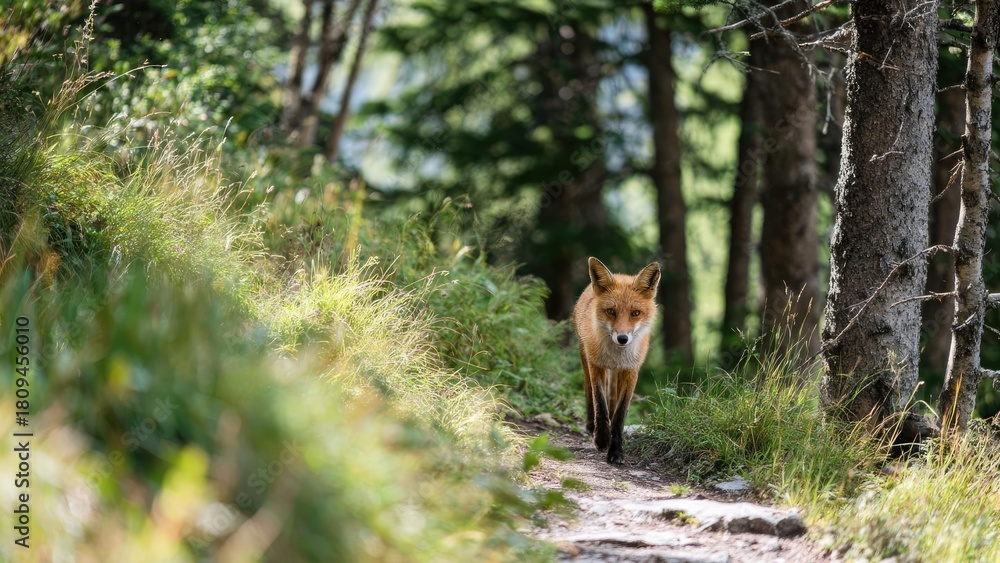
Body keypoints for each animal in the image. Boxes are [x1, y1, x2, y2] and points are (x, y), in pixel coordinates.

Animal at [573, 257, 660, 465]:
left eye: (635, 313)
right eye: (611, 311)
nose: (622, 338)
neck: (616, 356)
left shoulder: (631, 370)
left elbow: (620, 415)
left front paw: (616, 451)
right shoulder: (596, 365)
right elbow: (600, 404)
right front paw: (602, 439)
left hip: (615, 372)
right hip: (585, 358)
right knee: (589, 393)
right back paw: (591, 425)